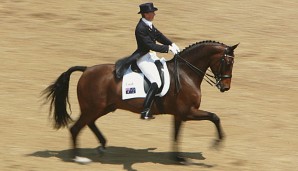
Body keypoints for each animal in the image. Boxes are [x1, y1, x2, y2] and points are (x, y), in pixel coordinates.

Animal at [42, 40, 239, 164]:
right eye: (227, 63)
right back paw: (79, 158)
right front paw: (217, 142)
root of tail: (86, 70)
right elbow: (214, 117)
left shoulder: (179, 114)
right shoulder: (188, 112)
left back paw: (102, 146)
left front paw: (178, 158)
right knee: (75, 128)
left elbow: (176, 134)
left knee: (89, 123)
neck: (185, 73)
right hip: (93, 108)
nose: (226, 87)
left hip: (103, 108)